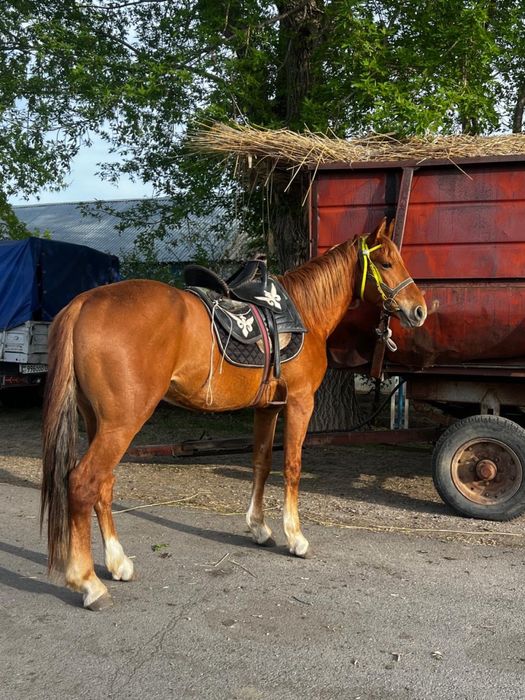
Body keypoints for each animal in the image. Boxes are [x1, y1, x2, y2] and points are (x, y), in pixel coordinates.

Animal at [41, 219, 426, 610]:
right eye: (387, 263)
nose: (419, 310)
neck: (305, 311)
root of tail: (84, 302)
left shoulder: (267, 408)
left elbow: (262, 463)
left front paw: (259, 527)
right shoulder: (300, 402)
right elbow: (292, 467)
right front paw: (295, 537)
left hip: (99, 421)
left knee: (103, 484)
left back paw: (118, 563)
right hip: (122, 423)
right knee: (83, 482)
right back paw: (88, 582)